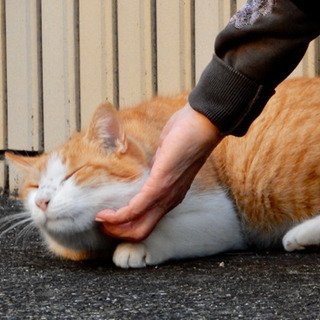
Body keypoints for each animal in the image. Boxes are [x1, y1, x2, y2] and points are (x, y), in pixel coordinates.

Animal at [3, 77, 320, 268]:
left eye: (73, 174)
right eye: (34, 187)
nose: (42, 201)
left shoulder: (221, 217)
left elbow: (172, 230)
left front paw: (136, 247)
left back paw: (299, 234)